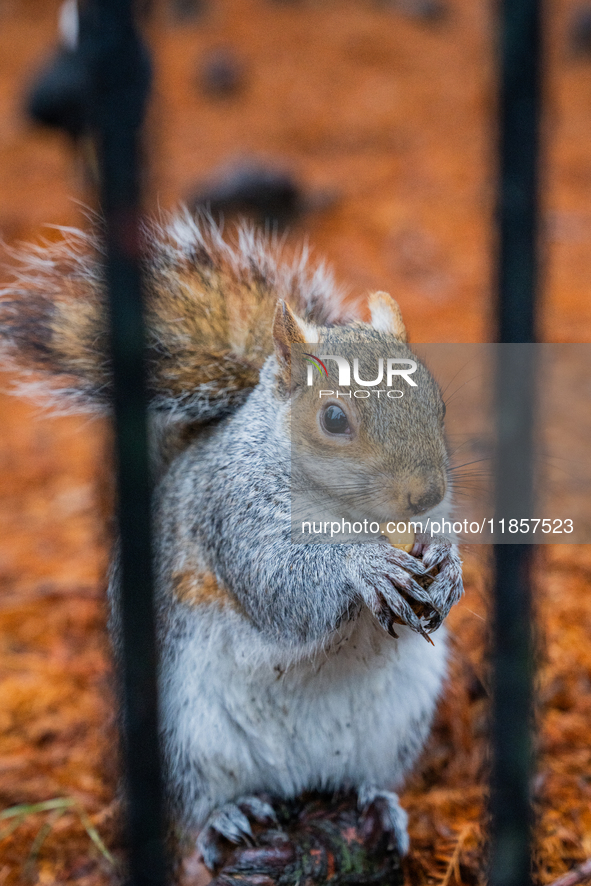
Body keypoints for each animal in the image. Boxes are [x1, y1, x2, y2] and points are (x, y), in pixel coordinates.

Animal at [0, 213, 462, 868]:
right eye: (334, 419)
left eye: (437, 402)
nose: (423, 495)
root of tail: (296, 777)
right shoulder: (229, 511)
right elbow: (279, 586)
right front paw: (365, 565)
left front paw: (448, 563)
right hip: (184, 734)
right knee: (198, 802)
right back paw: (228, 816)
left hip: (396, 723)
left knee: (363, 778)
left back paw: (377, 805)